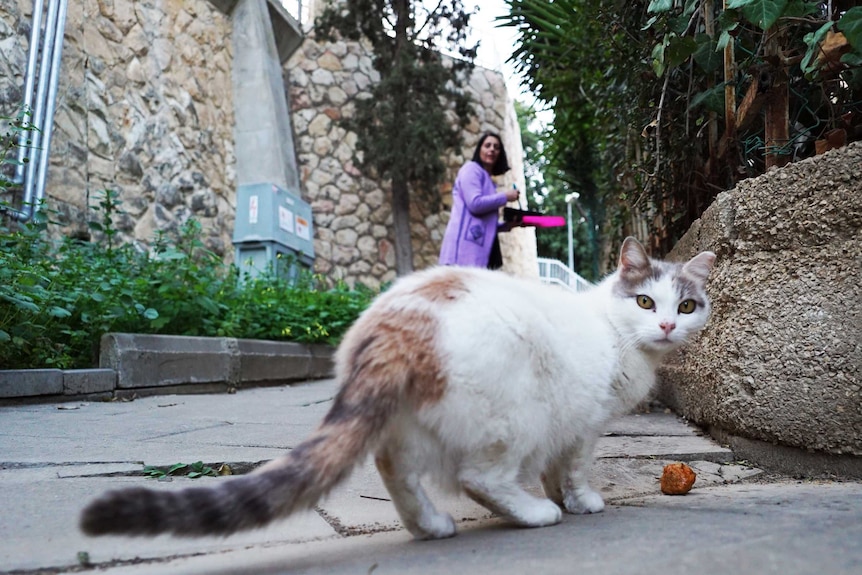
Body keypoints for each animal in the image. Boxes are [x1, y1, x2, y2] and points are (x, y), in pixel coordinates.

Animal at [79, 237, 716, 540]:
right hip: (514, 417)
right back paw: (534, 515)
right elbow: (574, 469)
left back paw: (430, 526)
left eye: (686, 306)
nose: (666, 325)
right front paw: (577, 503)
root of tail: (397, 320)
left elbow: (560, 469)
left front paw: (565, 497)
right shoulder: (585, 423)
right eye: (645, 302)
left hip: (407, 424)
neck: (615, 332)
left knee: (396, 472)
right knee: (479, 478)